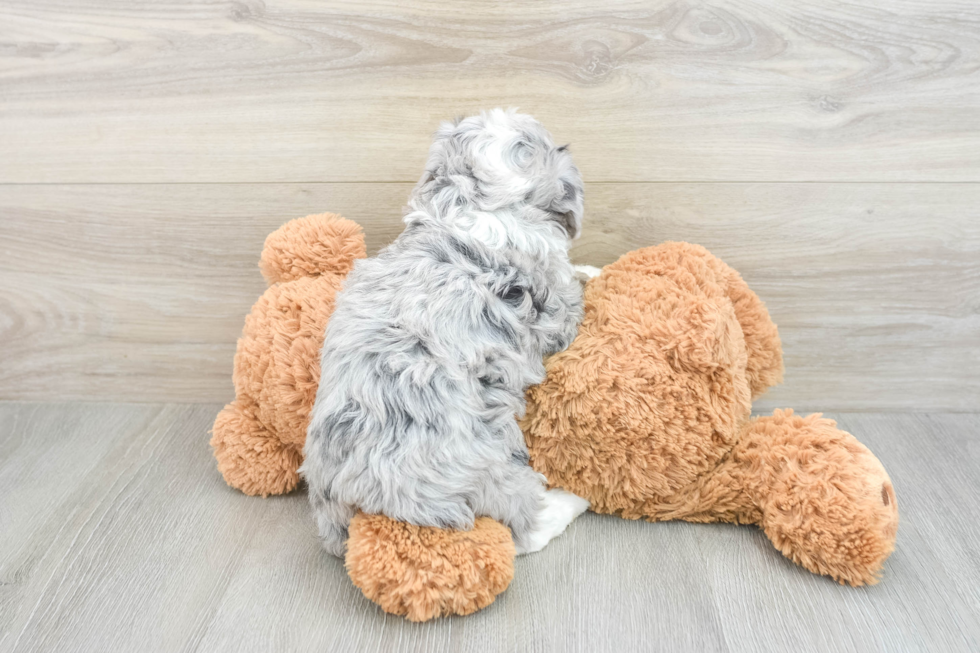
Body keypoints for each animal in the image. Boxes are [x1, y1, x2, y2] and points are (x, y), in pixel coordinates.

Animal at [302, 109, 588, 556]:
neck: (468, 201)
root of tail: (357, 499)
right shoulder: (555, 305)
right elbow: (571, 294)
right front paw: (596, 271)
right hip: (490, 463)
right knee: (525, 525)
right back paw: (570, 502)